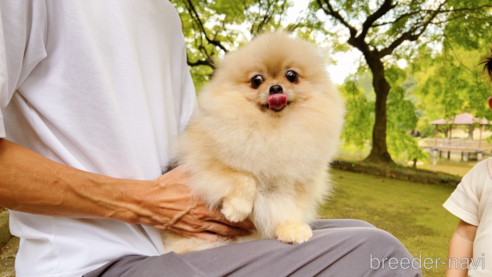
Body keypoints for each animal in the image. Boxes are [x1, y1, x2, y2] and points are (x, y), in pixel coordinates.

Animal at [162, 31, 346, 252]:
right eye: (257, 80)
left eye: (291, 76)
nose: (276, 88)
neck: (273, 129)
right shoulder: (203, 161)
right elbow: (243, 177)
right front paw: (237, 209)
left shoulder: (295, 183)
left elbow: (288, 207)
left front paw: (291, 228)